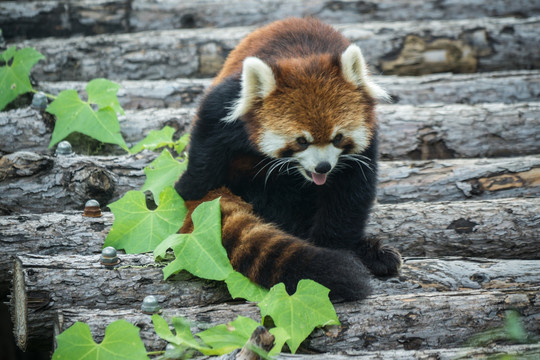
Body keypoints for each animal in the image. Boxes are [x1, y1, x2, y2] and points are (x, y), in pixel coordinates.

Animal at [176, 19, 400, 300]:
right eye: (301, 141)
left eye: (338, 138)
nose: (323, 167)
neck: (304, 57)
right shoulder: (231, 99)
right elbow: (207, 137)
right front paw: (189, 188)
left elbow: (348, 198)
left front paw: (335, 247)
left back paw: (374, 253)